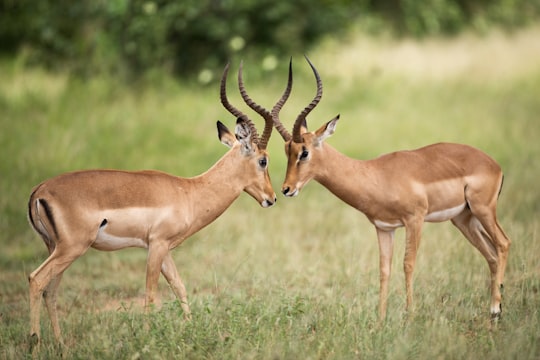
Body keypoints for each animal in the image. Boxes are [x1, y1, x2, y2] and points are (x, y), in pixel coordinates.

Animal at [26, 62, 282, 346]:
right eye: (263, 160)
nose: (271, 198)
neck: (189, 192)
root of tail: (39, 190)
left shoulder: (165, 248)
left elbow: (179, 286)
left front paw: (189, 330)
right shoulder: (156, 245)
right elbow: (150, 293)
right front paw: (147, 338)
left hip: (56, 248)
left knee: (50, 291)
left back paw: (60, 344)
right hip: (71, 248)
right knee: (36, 280)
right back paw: (34, 343)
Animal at [272, 56, 512, 320]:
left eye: (304, 152)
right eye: (286, 150)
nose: (286, 189)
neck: (376, 175)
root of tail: (494, 164)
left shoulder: (414, 219)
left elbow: (408, 264)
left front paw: (410, 315)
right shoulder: (384, 228)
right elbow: (384, 270)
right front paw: (380, 320)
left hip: (483, 210)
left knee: (503, 243)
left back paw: (495, 309)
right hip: (463, 219)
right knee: (491, 254)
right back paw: (495, 311)